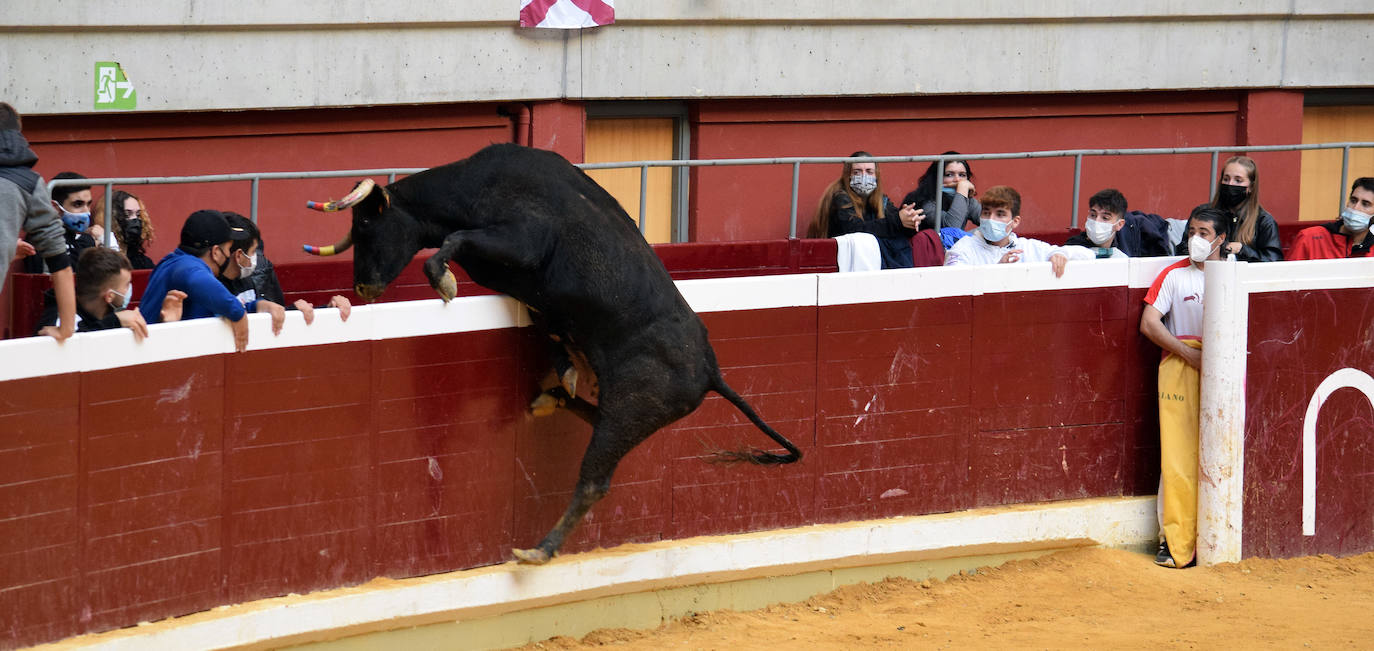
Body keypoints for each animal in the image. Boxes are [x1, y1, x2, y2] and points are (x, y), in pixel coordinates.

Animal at [309, 143, 802, 565]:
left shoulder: (520, 241)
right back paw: (554, 399)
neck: (477, 183)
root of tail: (711, 369)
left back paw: (538, 551)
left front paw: (443, 281)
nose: (361, 288)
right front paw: (564, 366)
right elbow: (543, 320)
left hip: (632, 409)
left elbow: (457, 240)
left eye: (366, 226)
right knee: (595, 421)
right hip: (629, 411)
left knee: (594, 481)